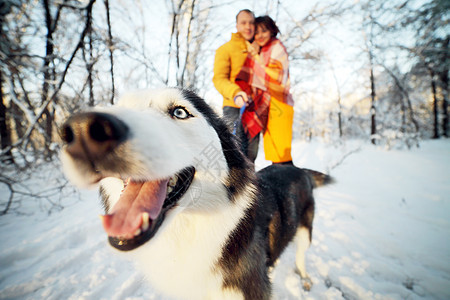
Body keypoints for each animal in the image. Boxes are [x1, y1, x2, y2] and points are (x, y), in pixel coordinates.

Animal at [60, 88, 330, 298]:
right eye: (120, 107)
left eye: (180, 112)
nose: (83, 131)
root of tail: (298, 169)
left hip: (305, 232)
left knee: (301, 256)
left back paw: (304, 277)